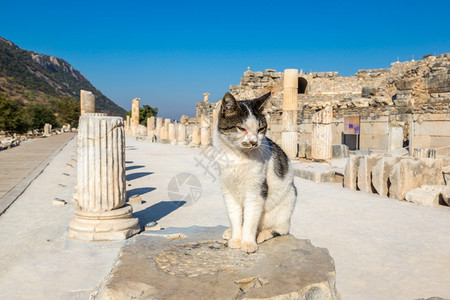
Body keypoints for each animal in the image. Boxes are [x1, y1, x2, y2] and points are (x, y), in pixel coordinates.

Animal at [213, 92, 298, 253]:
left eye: (260, 129)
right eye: (241, 128)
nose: (254, 142)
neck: (238, 156)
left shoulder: (257, 190)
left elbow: (251, 219)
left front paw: (247, 243)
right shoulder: (228, 189)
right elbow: (234, 215)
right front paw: (236, 239)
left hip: (288, 201)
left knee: (281, 229)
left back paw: (261, 234)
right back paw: (230, 232)